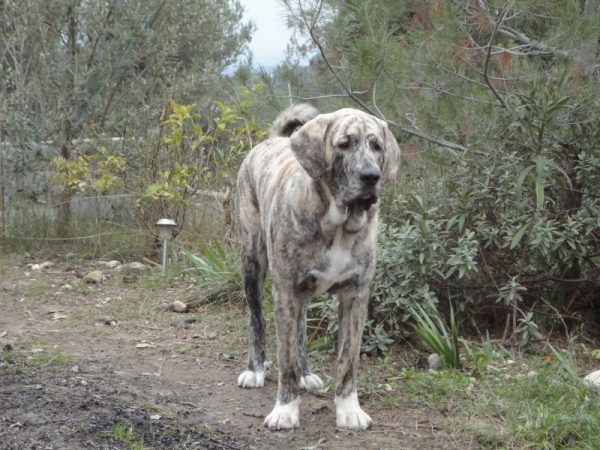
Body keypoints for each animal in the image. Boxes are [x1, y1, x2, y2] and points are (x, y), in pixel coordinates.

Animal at [237, 103, 400, 430]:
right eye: (344, 144)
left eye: (377, 146)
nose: (371, 176)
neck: (337, 224)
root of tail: (272, 141)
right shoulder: (285, 292)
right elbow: (285, 360)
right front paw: (285, 410)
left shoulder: (355, 296)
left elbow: (347, 360)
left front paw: (349, 409)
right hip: (252, 262)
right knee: (256, 320)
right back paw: (255, 369)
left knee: (300, 329)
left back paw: (307, 373)